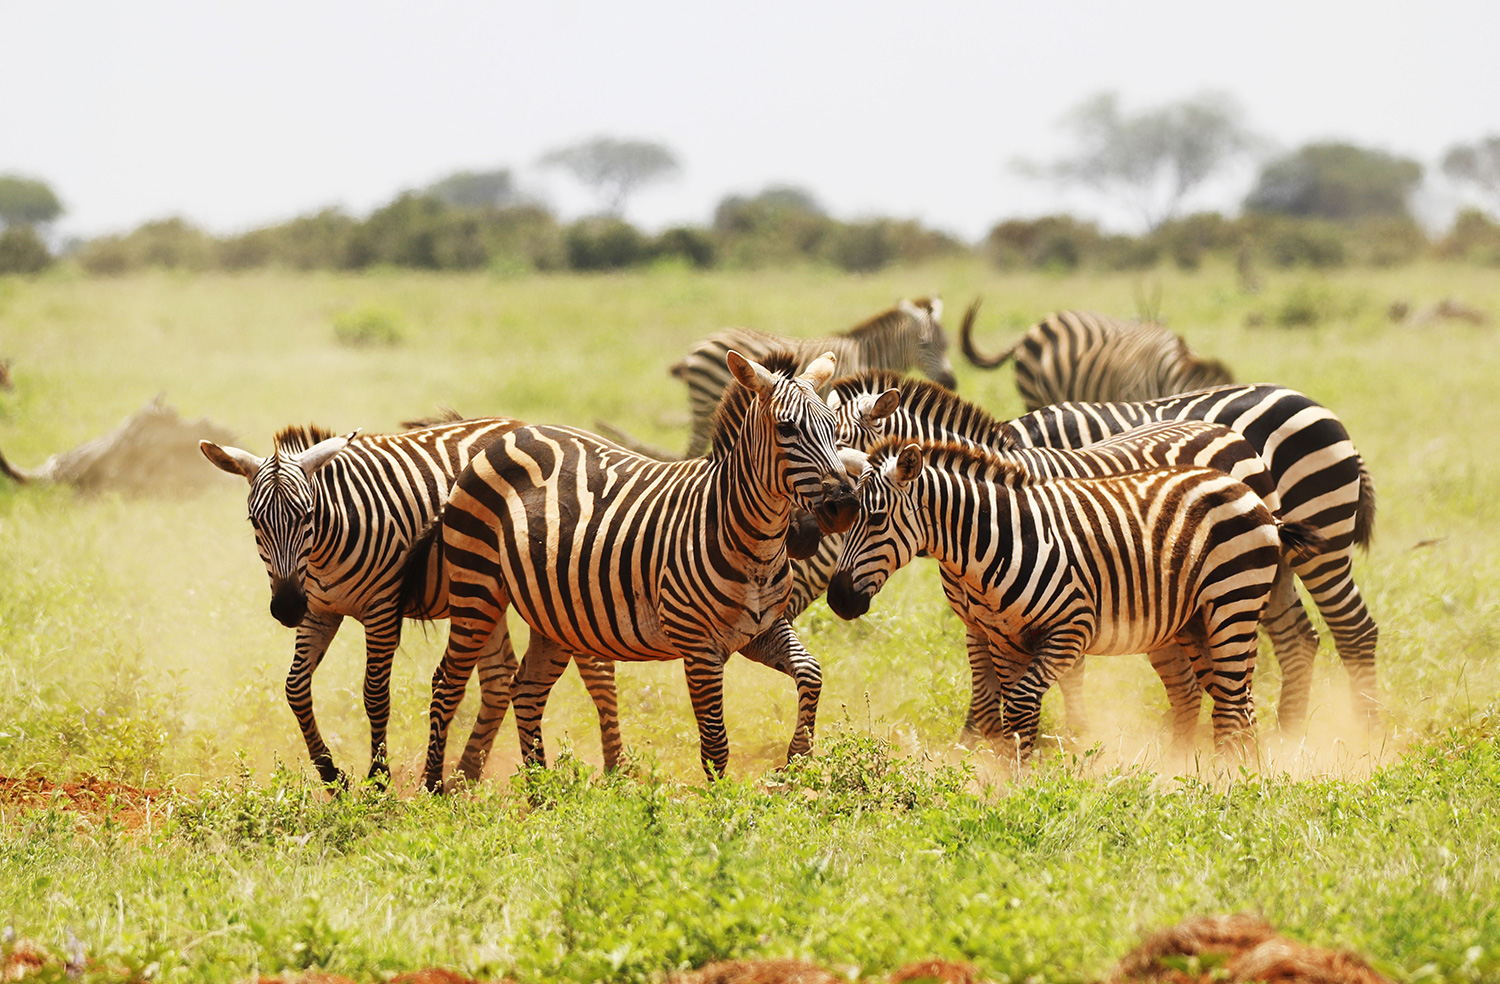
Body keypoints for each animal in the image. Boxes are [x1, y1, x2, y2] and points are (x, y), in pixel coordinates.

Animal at [200, 418, 620, 788]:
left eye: (307, 515)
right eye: (255, 521)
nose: (287, 608)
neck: (324, 548)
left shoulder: (383, 609)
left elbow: (374, 694)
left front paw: (378, 778)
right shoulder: (319, 611)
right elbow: (295, 688)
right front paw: (332, 777)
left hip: (554, 591)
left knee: (598, 672)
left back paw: (616, 772)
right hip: (484, 595)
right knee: (500, 678)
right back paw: (465, 776)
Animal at [401, 350, 858, 788]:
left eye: (834, 427)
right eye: (787, 429)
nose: (845, 506)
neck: (749, 541)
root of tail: (508, 434)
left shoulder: (761, 630)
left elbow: (812, 673)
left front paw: (798, 758)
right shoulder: (699, 645)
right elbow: (715, 743)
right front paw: (719, 805)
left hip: (552, 614)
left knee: (526, 689)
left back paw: (541, 795)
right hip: (477, 588)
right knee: (447, 681)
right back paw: (435, 788)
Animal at [669, 296, 955, 457]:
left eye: (947, 344)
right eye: (924, 344)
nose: (952, 382)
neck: (866, 355)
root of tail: (699, 346)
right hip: (705, 404)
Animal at [828, 440, 1325, 759]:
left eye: (875, 518)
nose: (837, 600)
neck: (997, 541)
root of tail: (1253, 496)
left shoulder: (1072, 628)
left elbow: (1022, 703)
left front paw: (1016, 779)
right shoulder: (1005, 640)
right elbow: (1012, 712)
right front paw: (1008, 779)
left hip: (1233, 603)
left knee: (1234, 699)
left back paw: (1226, 777)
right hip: (1194, 621)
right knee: (1235, 699)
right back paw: (1225, 772)